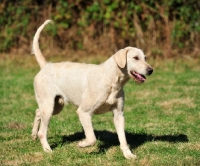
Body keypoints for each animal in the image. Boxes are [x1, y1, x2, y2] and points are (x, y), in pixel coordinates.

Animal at [31, 20, 153, 159]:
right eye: (135, 58)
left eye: (145, 58)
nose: (151, 70)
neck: (111, 80)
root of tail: (45, 65)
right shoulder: (84, 112)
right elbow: (92, 138)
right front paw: (82, 144)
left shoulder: (119, 114)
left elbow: (123, 139)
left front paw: (128, 155)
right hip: (49, 106)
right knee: (42, 131)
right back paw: (47, 150)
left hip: (56, 106)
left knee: (37, 112)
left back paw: (33, 135)